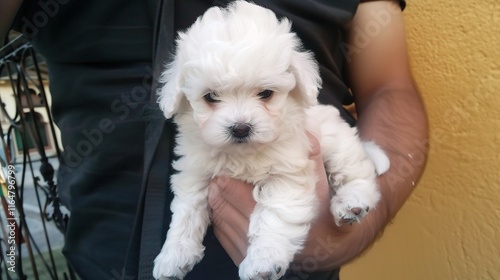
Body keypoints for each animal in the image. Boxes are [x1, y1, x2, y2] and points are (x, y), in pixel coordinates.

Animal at [153, 1, 390, 278]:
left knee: (357, 174)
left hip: (338, 144)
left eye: (265, 94)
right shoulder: (195, 173)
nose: (240, 128)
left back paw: (352, 203)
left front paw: (263, 259)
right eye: (211, 97)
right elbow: (186, 213)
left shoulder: (287, 174)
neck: (241, 154)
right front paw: (174, 255)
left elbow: (273, 215)